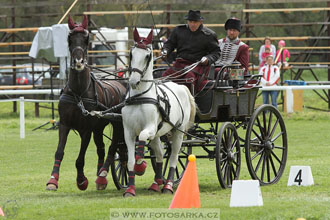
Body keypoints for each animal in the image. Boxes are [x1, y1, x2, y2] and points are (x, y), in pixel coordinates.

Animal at [45, 15, 125, 191]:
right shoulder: (65, 124)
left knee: (114, 147)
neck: (79, 93)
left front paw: (81, 180)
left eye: (86, 39)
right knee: (102, 149)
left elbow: (80, 158)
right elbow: (59, 151)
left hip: (117, 124)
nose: (79, 61)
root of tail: (122, 85)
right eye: (69, 38)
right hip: (99, 128)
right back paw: (101, 177)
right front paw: (53, 180)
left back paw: (104, 175)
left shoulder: (86, 129)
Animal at [122, 28, 196, 197]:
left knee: (174, 156)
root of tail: (181, 86)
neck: (139, 97)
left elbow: (142, 138)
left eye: (147, 56)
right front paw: (130, 189)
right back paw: (157, 182)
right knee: (161, 155)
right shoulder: (128, 132)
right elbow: (130, 160)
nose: (133, 82)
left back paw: (168, 185)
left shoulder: (149, 128)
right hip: (158, 134)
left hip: (178, 132)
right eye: (131, 54)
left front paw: (140, 165)